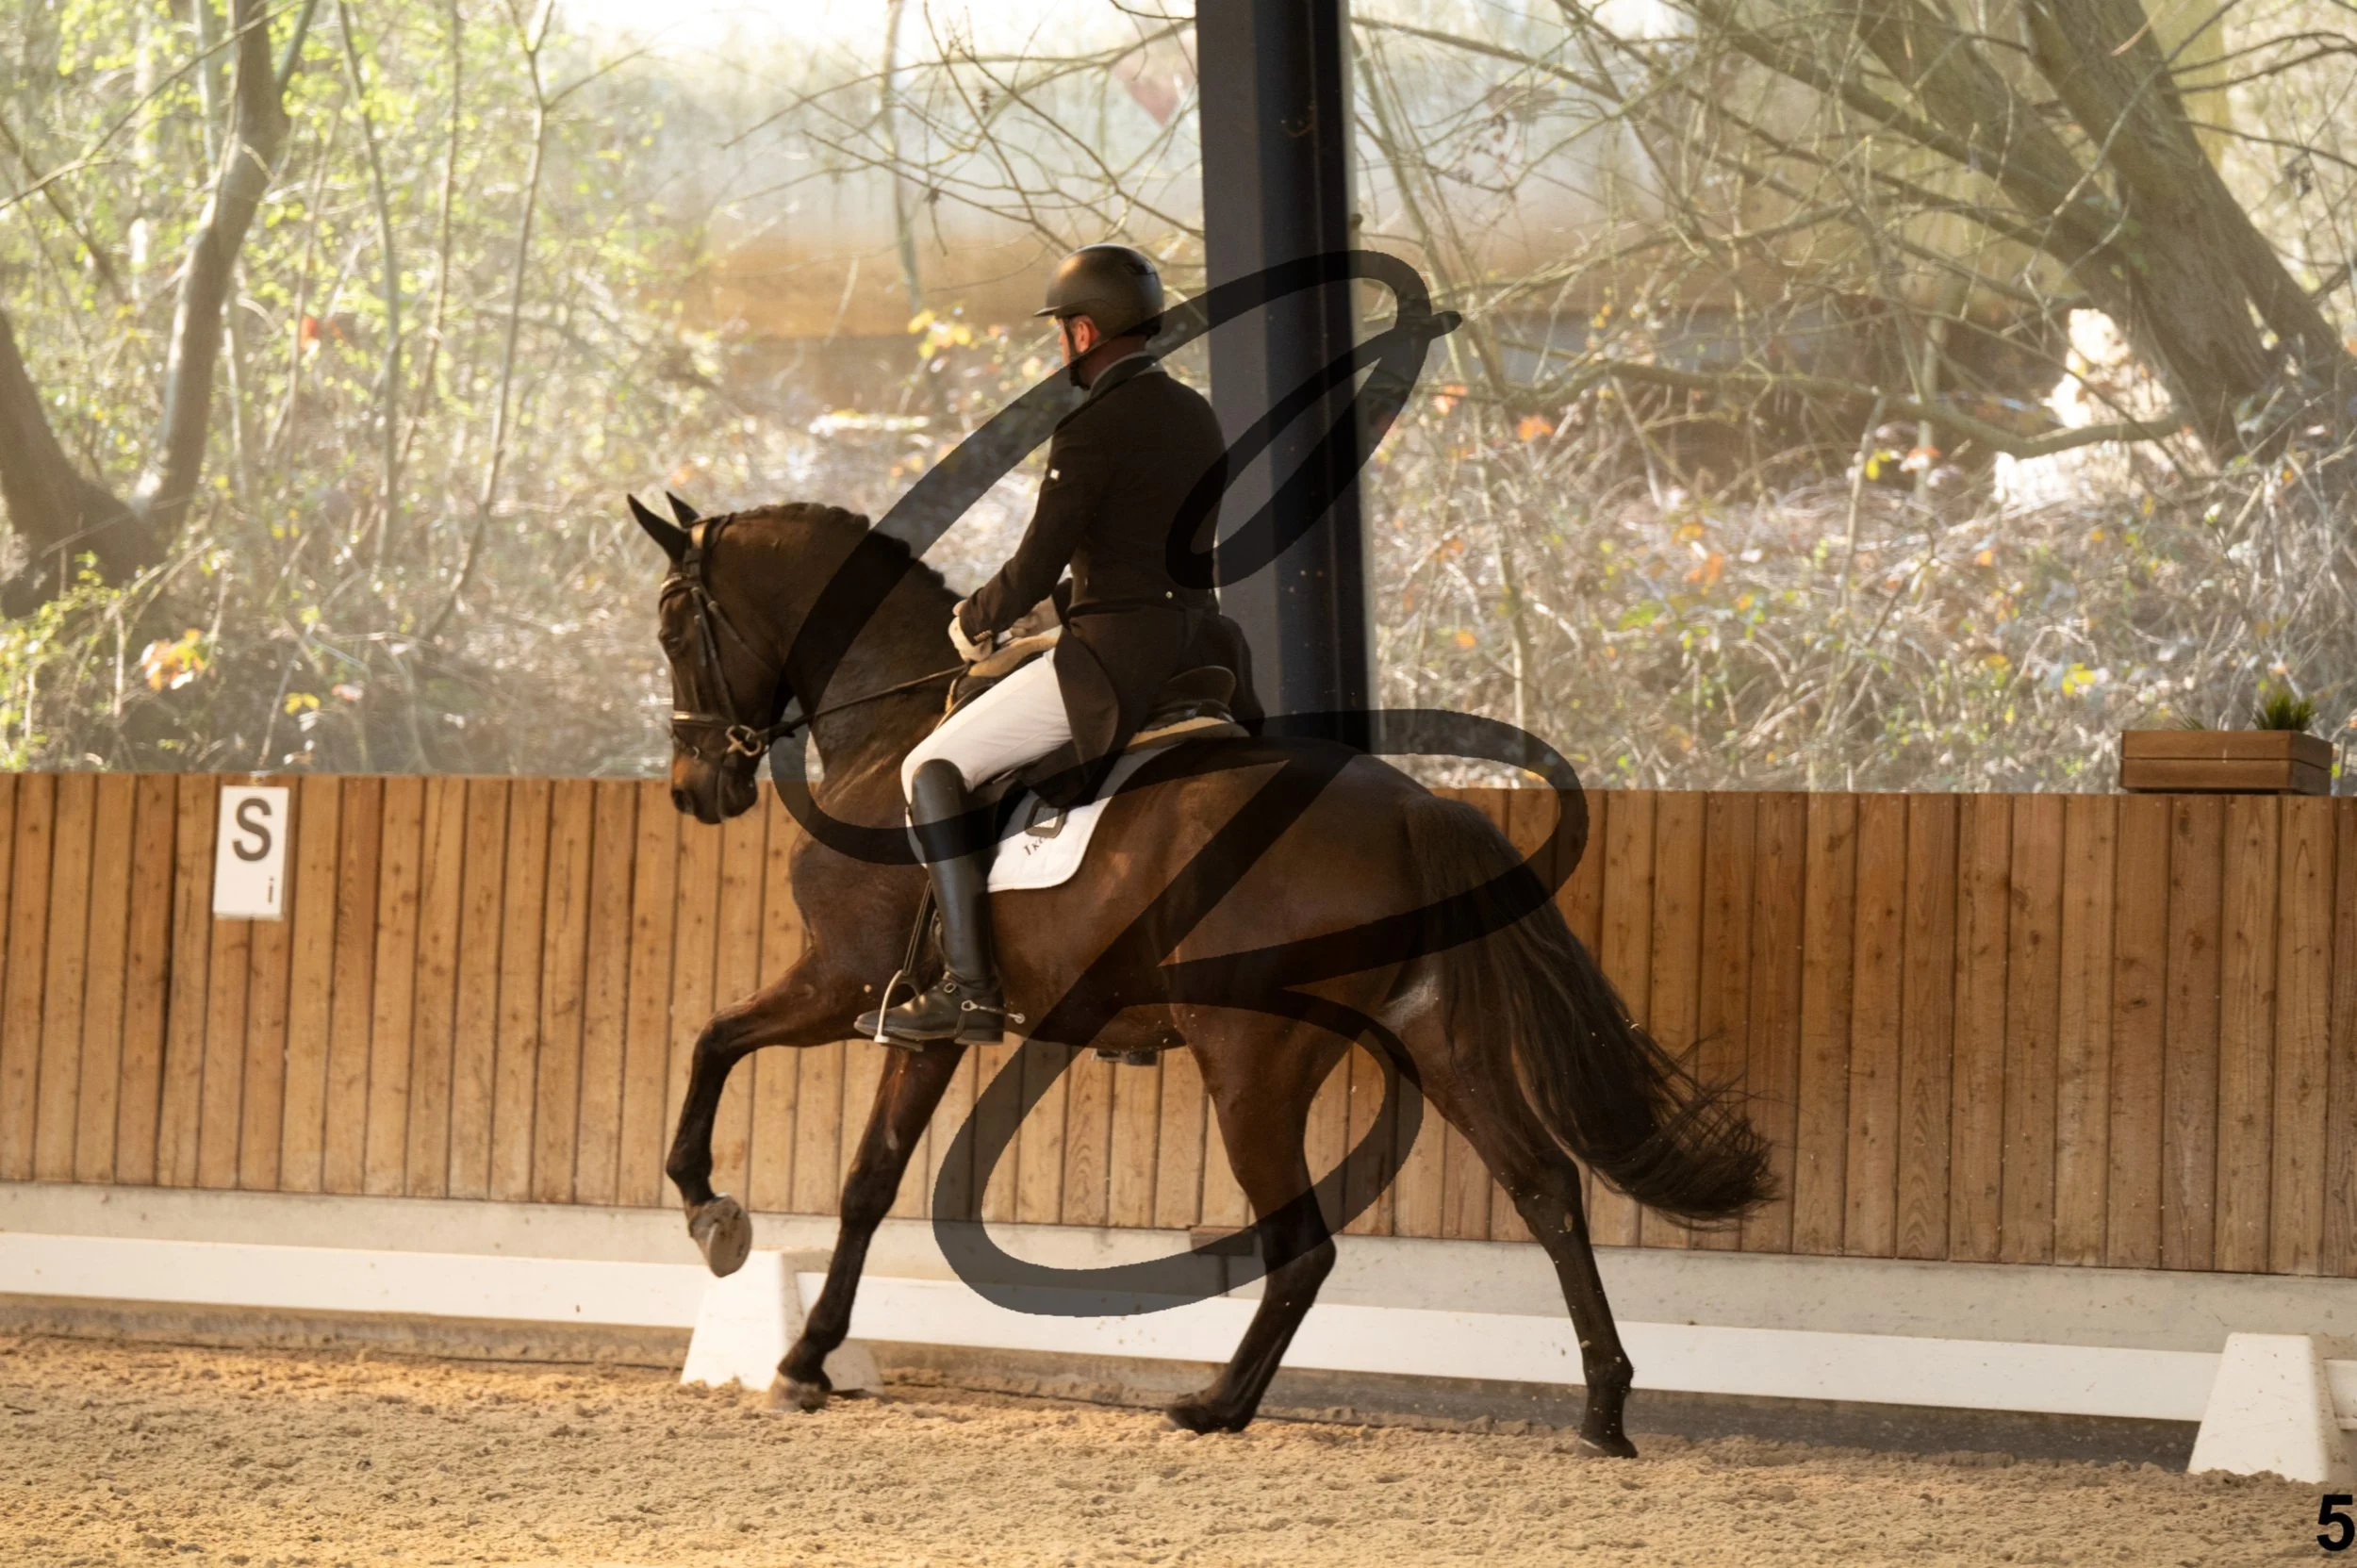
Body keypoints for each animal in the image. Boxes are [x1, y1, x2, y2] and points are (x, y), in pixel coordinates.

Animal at [639, 494, 1771, 1455]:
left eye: (671, 634)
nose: (694, 790)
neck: (890, 729)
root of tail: (1416, 811)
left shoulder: (844, 981)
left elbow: (715, 1041)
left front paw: (715, 1217)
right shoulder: (921, 1027)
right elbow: (868, 1180)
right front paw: (806, 1354)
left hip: (1251, 1061)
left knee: (1306, 1243)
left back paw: (1217, 1404)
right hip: (1441, 1039)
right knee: (1545, 1189)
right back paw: (1603, 1407)